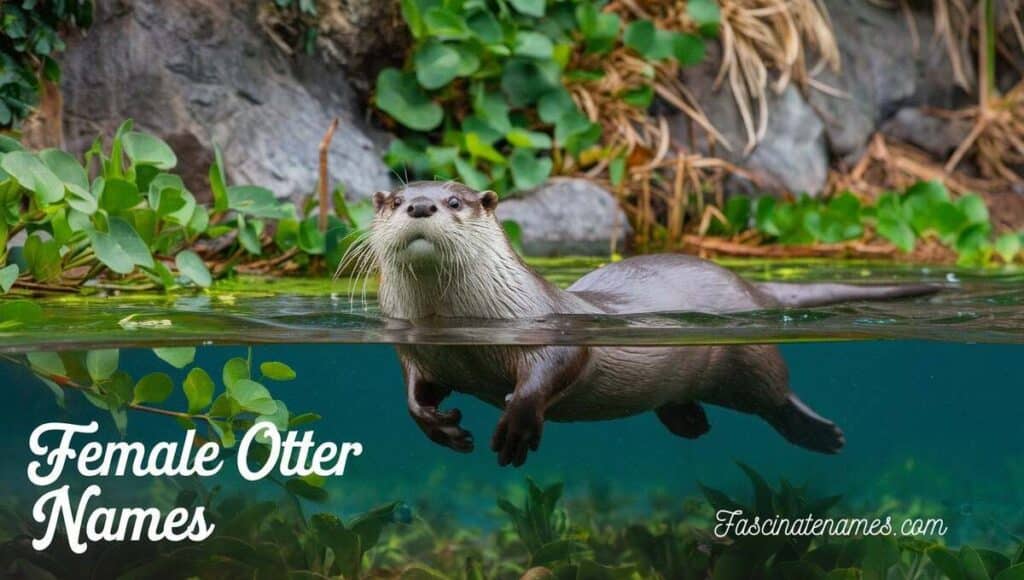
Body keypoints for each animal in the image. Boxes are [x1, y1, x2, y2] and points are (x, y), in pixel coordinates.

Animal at [361, 181, 936, 467]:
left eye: (454, 200)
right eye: (395, 199)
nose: (419, 205)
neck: (458, 326)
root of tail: (752, 286)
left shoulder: (553, 328)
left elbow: (555, 370)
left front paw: (517, 427)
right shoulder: (416, 349)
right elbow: (414, 389)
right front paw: (438, 425)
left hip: (750, 360)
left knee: (777, 392)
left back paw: (820, 434)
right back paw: (690, 422)